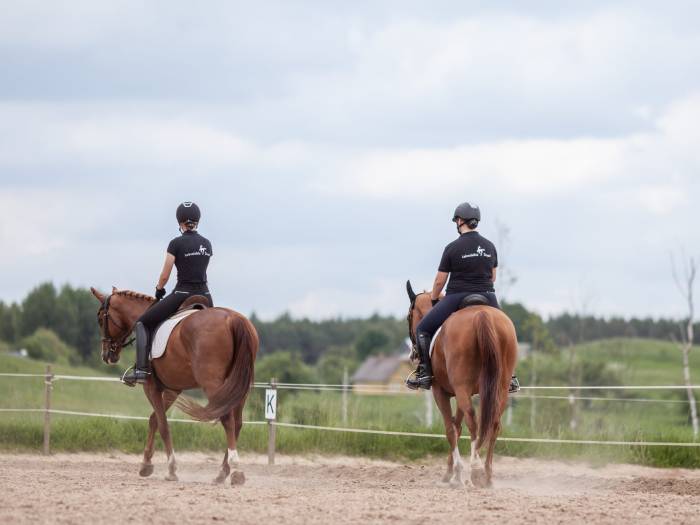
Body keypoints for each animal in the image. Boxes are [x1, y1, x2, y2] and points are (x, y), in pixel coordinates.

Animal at [91, 286, 258, 484]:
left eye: (100, 318)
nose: (106, 355)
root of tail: (232, 319)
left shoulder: (151, 387)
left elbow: (163, 424)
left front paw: (171, 469)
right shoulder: (173, 389)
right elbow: (154, 419)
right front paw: (146, 464)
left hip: (213, 384)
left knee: (227, 420)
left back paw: (236, 471)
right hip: (239, 386)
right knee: (237, 423)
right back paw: (222, 473)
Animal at [408, 280, 516, 490]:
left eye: (409, 316)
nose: (413, 354)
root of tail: (481, 314)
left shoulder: (441, 391)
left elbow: (450, 430)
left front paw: (455, 474)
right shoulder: (459, 393)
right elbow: (457, 427)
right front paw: (452, 473)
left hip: (462, 387)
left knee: (473, 421)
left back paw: (475, 470)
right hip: (499, 387)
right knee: (494, 423)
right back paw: (487, 475)